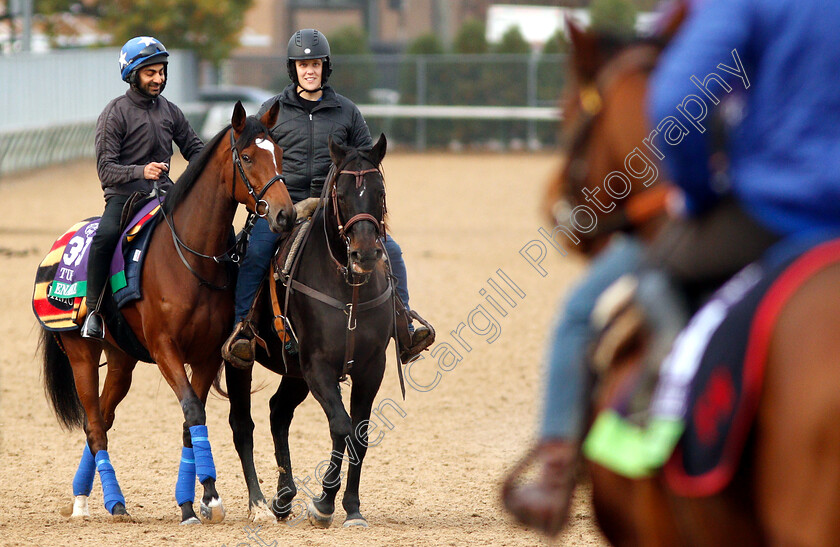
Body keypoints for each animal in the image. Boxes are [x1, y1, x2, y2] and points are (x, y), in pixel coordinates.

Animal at [38, 103, 296, 528]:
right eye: (246, 157)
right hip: (82, 356)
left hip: (122, 361)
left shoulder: (207, 355)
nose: (285, 215)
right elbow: (192, 410)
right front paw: (207, 495)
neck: (190, 259)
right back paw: (108, 502)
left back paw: (86, 498)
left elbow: (193, 422)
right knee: (94, 425)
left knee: (104, 417)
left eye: (278, 153)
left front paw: (197, 501)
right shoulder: (165, 350)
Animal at [226, 134, 398, 532]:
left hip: (294, 374)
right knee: (243, 423)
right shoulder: (318, 366)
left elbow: (358, 436)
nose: (365, 253)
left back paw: (284, 496)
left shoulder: (371, 368)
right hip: (243, 364)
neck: (348, 289)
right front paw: (324, 503)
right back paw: (262, 503)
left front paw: (352, 507)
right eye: (342, 194)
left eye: (380, 191)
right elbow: (341, 426)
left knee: (278, 412)